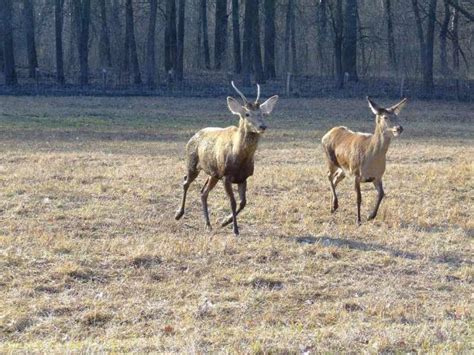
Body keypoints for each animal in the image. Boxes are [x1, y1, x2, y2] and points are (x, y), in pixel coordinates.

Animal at [174, 81, 278, 235]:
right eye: (247, 114)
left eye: (263, 113)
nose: (262, 126)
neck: (239, 159)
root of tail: (193, 136)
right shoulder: (226, 176)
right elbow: (233, 202)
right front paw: (235, 229)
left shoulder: (243, 177)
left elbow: (243, 202)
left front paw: (225, 221)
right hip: (192, 163)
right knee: (186, 182)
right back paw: (178, 214)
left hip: (213, 174)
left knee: (203, 192)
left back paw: (208, 224)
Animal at [322, 96, 408, 225]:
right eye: (385, 117)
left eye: (397, 116)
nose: (399, 128)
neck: (371, 158)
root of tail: (327, 134)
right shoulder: (356, 173)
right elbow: (358, 198)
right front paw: (358, 220)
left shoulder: (377, 176)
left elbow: (382, 194)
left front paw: (370, 216)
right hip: (331, 160)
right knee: (328, 175)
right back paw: (335, 205)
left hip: (344, 169)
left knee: (336, 178)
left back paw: (332, 207)